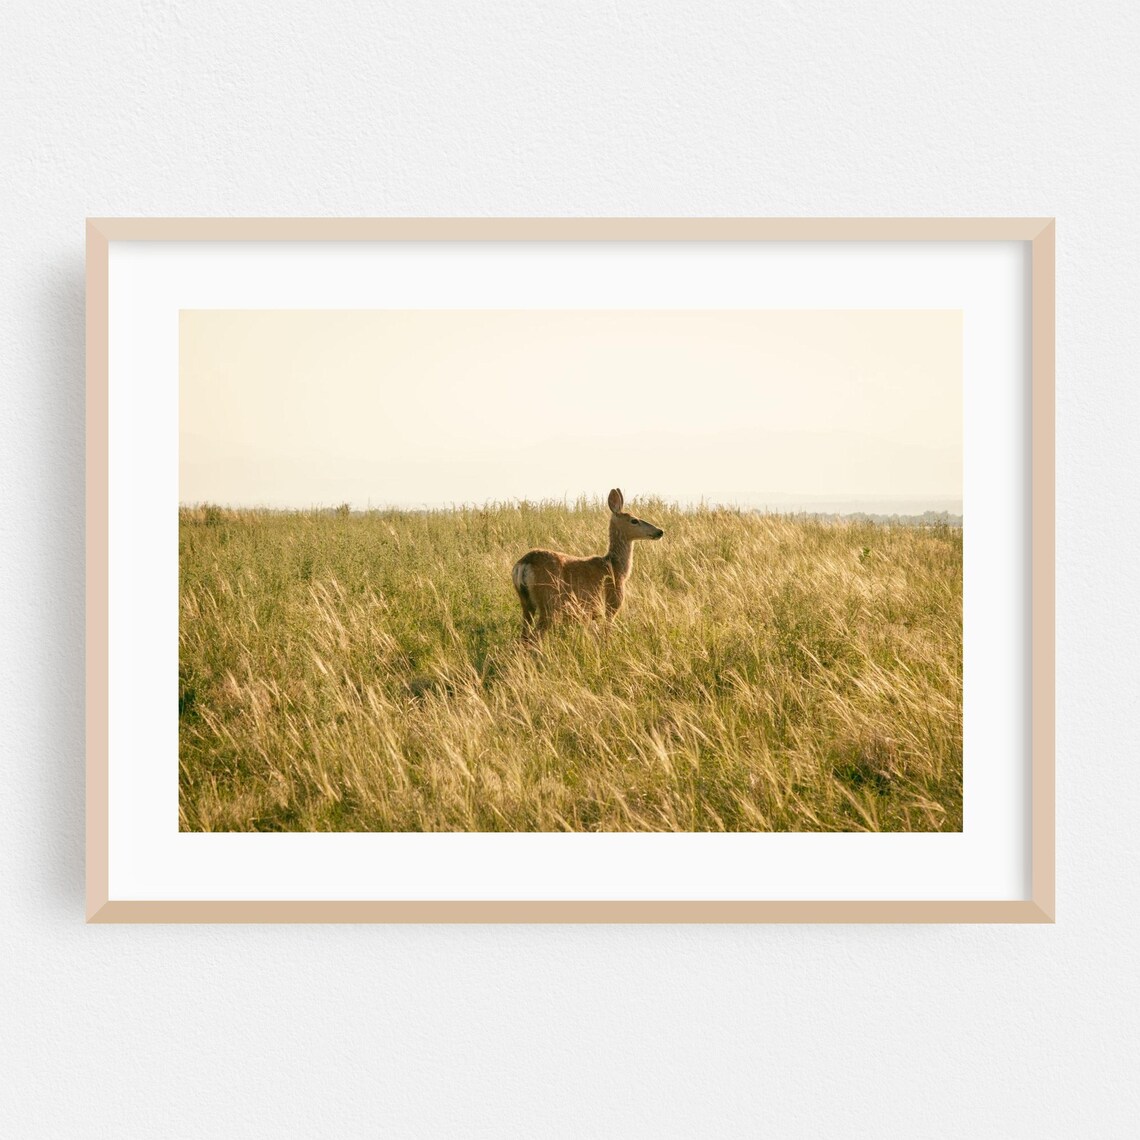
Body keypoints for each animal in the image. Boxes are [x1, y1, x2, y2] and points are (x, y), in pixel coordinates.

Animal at [511, 488, 664, 643]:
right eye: (634, 520)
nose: (659, 531)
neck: (616, 568)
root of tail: (524, 563)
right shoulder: (611, 603)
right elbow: (606, 633)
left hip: (526, 603)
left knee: (523, 637)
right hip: (549, 601)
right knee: (533, 638)